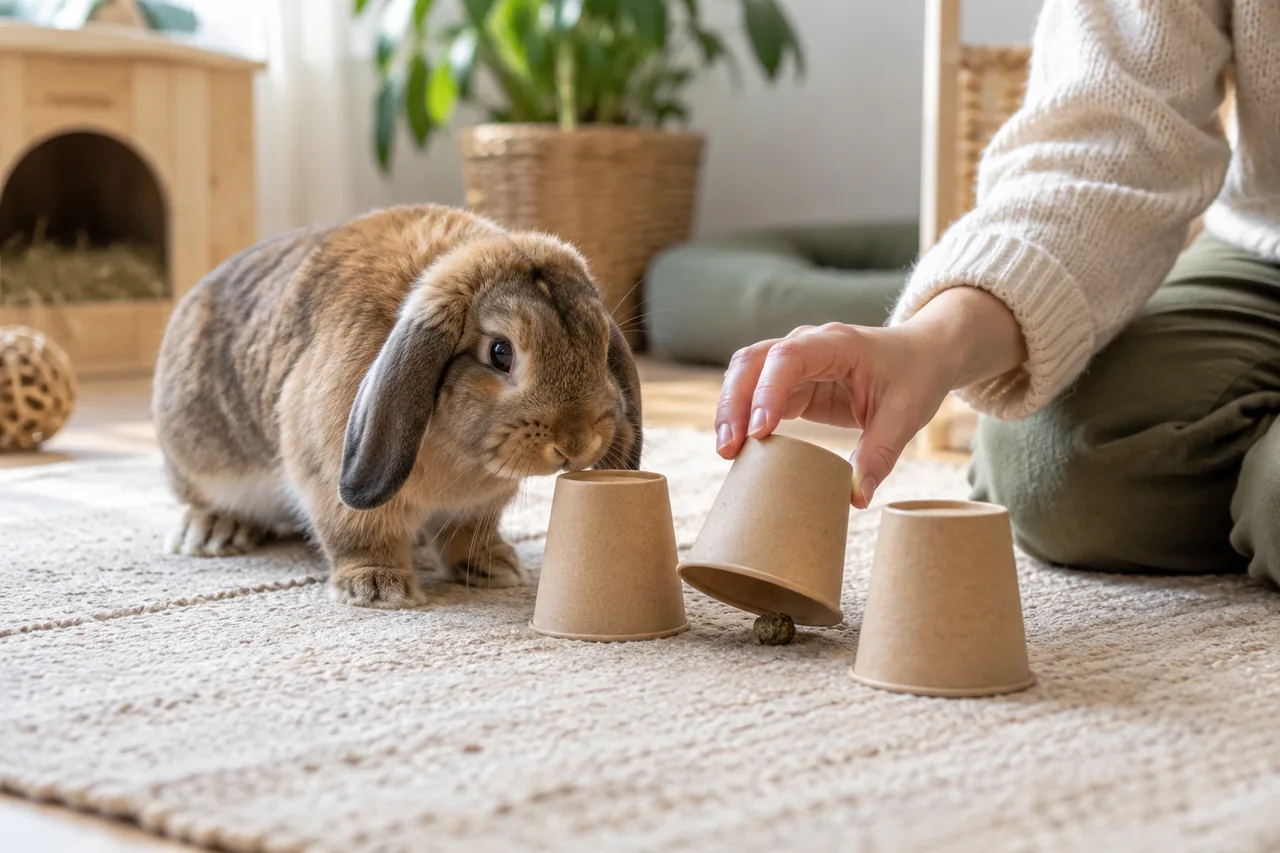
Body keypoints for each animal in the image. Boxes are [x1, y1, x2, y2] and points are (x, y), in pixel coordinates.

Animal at [151, 203, 642, 609]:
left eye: (602, 346)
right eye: (501, 353)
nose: (577, 443)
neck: (458, 455)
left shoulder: (478, 505)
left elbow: (468, 532)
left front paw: (495, 568)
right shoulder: (330, 477)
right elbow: (359, 533)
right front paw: (378, 588)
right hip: (195, 461)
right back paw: (212, 533)